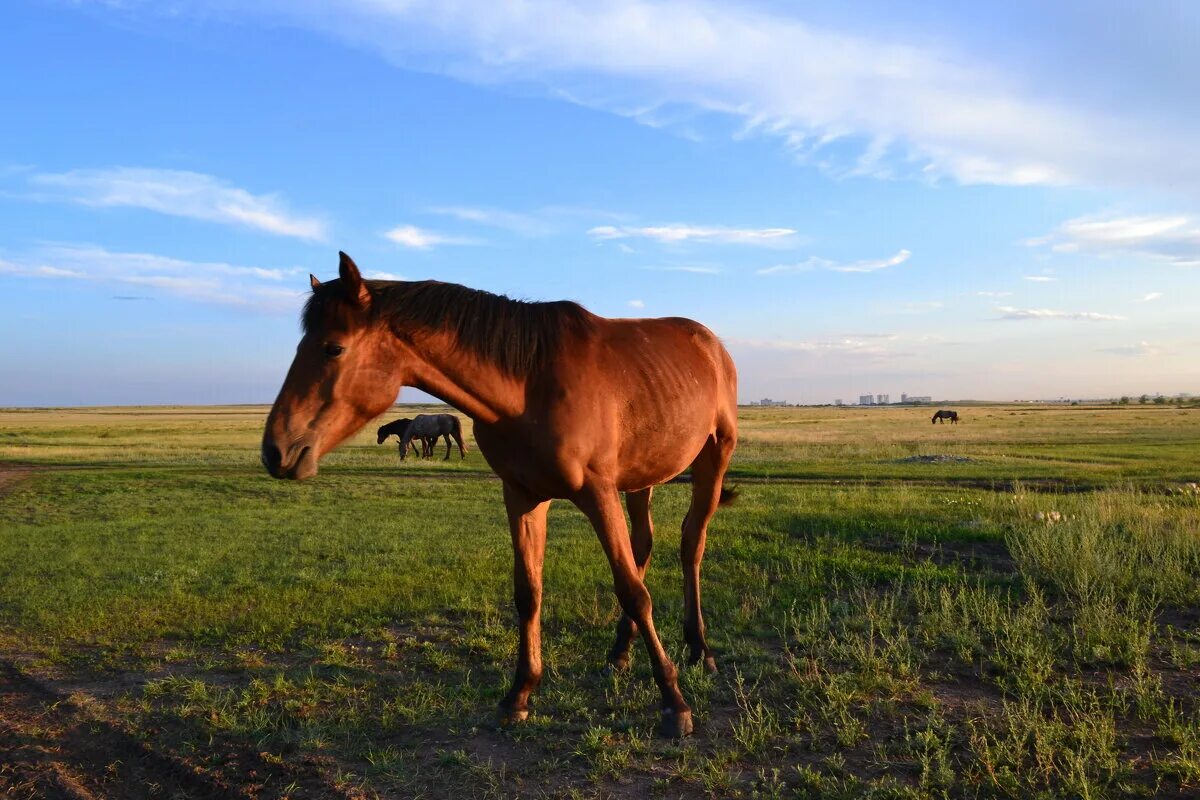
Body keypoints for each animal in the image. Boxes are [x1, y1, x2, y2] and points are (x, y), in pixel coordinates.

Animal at [260, 253, 739, 734]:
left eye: (333, 348)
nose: (276, 451)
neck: (529, 387)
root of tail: (711, 346)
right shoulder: (522, 495)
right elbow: (528, 592)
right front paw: (519, 694)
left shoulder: (598, 492)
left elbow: (634, 592)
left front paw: (673, 702)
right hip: (641, 478)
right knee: (644, 547)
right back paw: (620, 653)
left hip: (714, 458)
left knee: (691, 545)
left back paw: (700, 650)